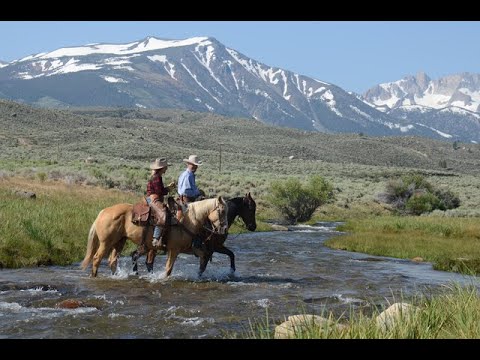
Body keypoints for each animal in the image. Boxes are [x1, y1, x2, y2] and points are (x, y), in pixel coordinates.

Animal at [81, 195, 229, 278]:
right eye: (222, 211)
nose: (224, 229)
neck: (190, 219)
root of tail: (102, 212)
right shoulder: (174, 250)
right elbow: (168, 269)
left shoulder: (191, 248)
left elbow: (204, 258)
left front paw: (199, 274)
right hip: (106, 242)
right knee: (96, 258)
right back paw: (94, 276)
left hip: (119, 242)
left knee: (112, 260)